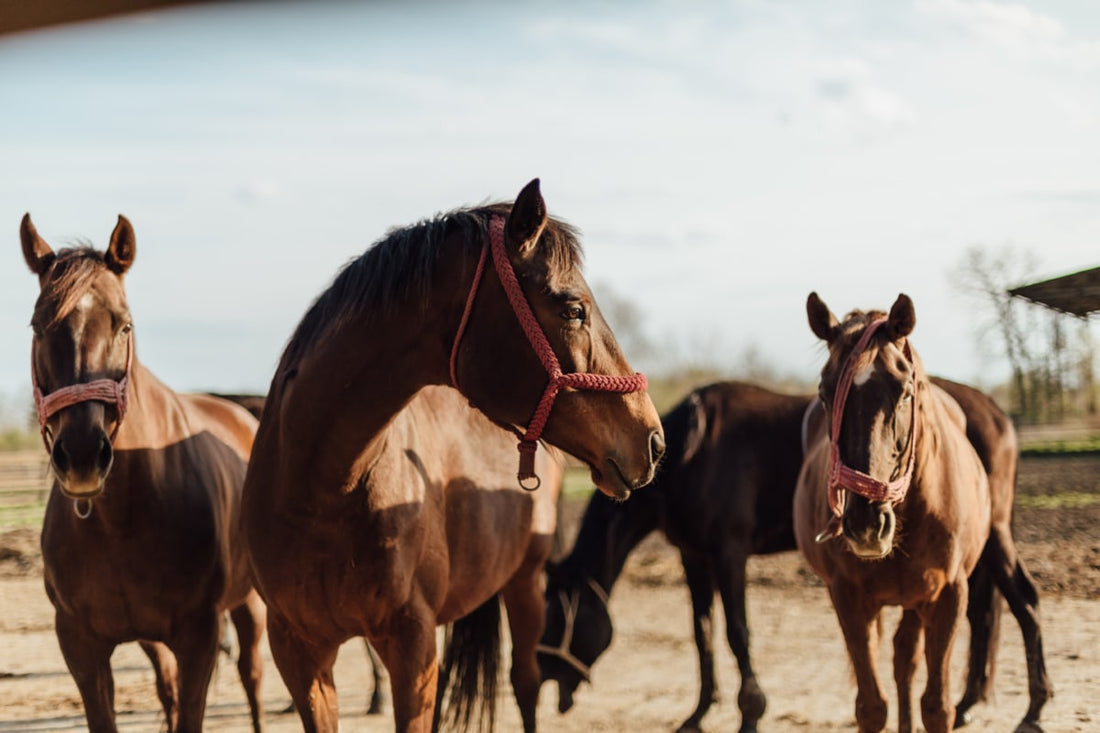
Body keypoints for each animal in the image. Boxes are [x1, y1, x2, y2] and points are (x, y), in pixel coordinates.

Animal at [21, 214, 267, 732]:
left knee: (252, 675)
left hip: (250, 604)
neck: (124, 518)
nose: (82, 455)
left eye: (124, 324)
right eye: (37, 326)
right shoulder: (80, 644)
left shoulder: (199, 635)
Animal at [240, 179, 665, 733]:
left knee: (526, 684)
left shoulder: (411, 648)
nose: (652, 439)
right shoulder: (299, 653)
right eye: (574, 309)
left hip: (525, 583)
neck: (322, 492)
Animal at [794, 292, 990, 733]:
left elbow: (936, 706)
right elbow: (871, 706)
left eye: (904, 392)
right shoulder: (848, 599)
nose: (865, 526)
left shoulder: (948, 596)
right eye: (825, 394)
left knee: (905, 662)